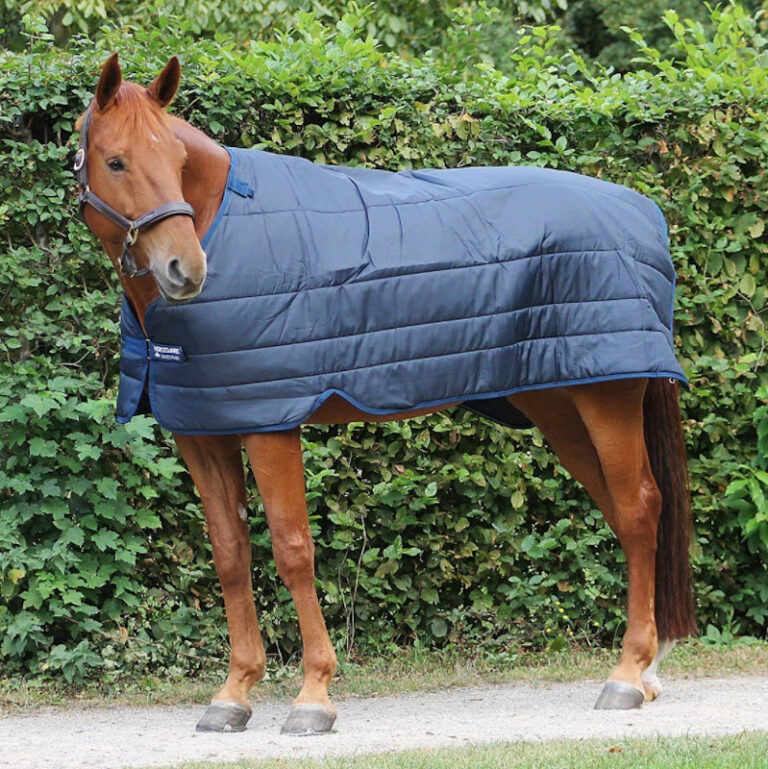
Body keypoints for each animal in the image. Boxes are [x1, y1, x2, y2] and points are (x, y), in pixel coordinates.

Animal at [74, 53, 697, 735]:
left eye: (178, 160)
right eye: (116, 162)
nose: (186, 269)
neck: (227, 222)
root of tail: (643, 212)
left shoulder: (271, 423)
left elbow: (293, 549)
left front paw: (314, 695)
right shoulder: (203, 429)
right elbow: (231, 555)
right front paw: (233, 694)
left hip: (608, 397)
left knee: (638, 510)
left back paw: (628, 675)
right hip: (560, 403)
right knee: (621, 510)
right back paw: (649, 669)